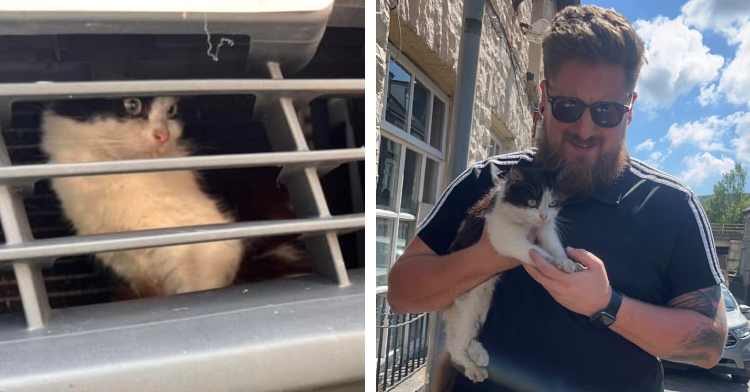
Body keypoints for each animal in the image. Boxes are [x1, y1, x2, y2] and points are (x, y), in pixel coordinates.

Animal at [444, 165, 584, 382]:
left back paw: (478, 353)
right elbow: (537, 251)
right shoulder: (505, 239)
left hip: (483, 299)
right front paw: (554, 262)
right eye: (532, 202)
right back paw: (473, 367)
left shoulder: (546, 229)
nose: (544, 215)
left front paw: (566, 262)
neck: (524, 221)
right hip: (467, 303)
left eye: (552, 203)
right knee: (455, 345)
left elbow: (554, 245)